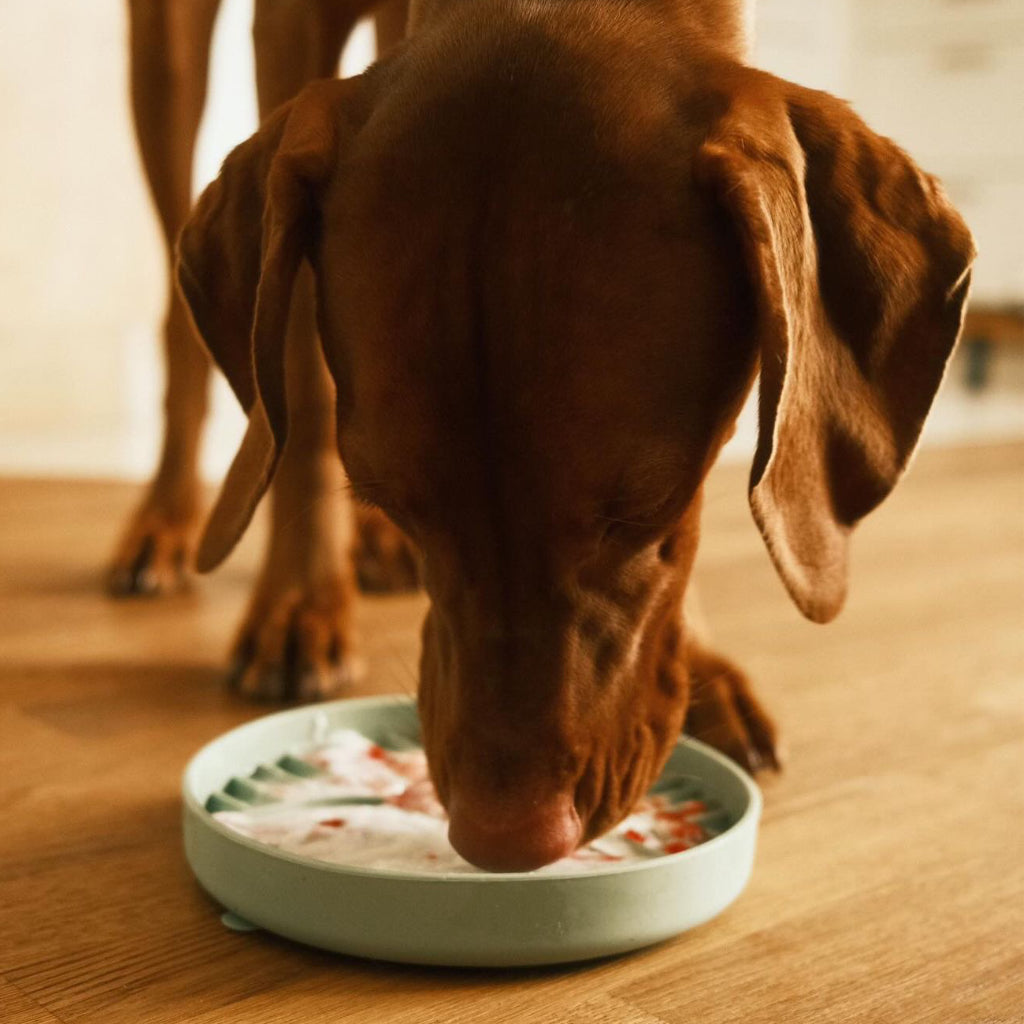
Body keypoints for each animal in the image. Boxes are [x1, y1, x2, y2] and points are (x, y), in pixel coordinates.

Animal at [172, 0, 970, 872]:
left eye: (649, 505)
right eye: (396, 499)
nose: (504, 843)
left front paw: (705, 668)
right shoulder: (287, 29)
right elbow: (296, 378)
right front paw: (300, 603)